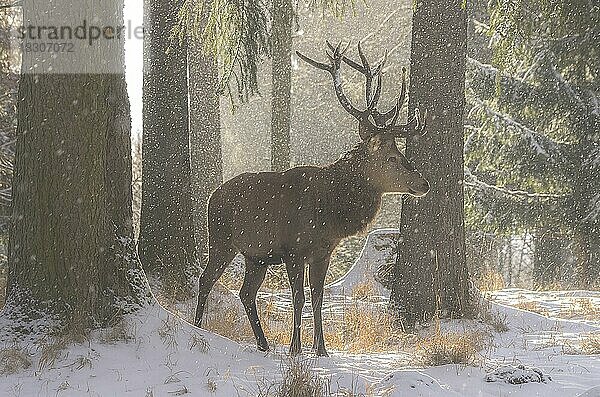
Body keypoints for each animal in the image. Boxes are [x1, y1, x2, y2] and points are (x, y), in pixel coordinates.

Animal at [195, 42, 428, 356]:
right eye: (392, 157)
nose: (424, 183)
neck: (330, 213)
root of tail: (212, 195)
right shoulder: (294, 249)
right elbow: (299, 298)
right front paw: (295, 348)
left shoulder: (323, 252)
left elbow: (318, 297)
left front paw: (321, 349)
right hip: (221, 240)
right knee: (205, 279)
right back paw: (197, 326)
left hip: (256, 256)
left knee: (246, 293)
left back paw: (263, 343)